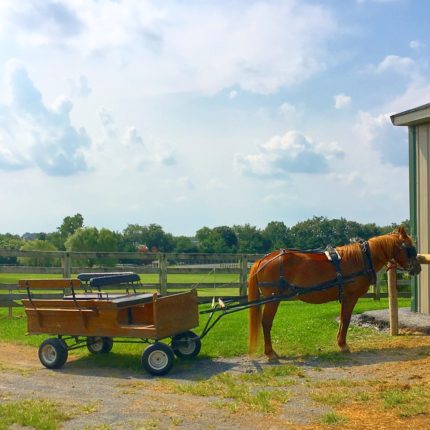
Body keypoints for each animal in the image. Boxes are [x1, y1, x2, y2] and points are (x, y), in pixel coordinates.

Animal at [249, 227, 420, 362]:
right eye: (410, 248)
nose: (418, 268)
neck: (361, 259)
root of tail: (263, 259)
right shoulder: (350, 297)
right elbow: (346, 319)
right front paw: (343, 345)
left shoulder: (344, 297)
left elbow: (342, 320)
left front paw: (340, 342)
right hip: (273, 300)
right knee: (266, 322)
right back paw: (270, 353)